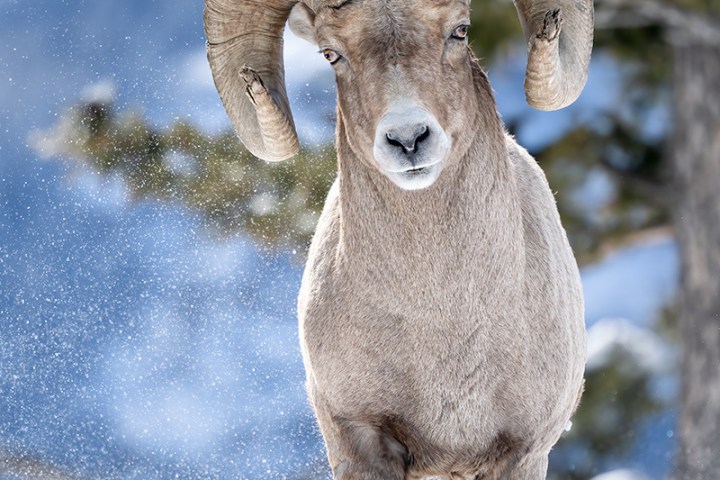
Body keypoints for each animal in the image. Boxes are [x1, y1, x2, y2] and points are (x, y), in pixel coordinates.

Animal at [204, 0, 593, 478]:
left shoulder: (523, 453)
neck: (441, 321)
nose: (408, 139)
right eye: (331, 54)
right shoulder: (360, 443)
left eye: (460, 31)